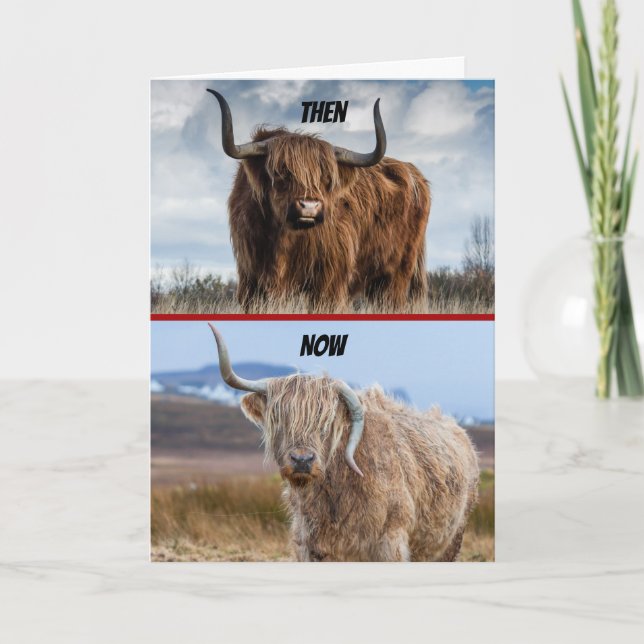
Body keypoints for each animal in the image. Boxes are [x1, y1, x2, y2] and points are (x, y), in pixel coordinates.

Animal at [207, 90, 431, 313]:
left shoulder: (329, 281)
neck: (283, 240)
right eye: (281, 173)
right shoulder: (251, 278)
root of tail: (414, 173)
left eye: (327, 178)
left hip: (397, 273)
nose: (309, 207)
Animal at [208, 324, 480, 561]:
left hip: (453, 539)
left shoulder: (390, 541)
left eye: (327, 422)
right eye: (280, 418)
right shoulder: (309, 546)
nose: (302, 460)